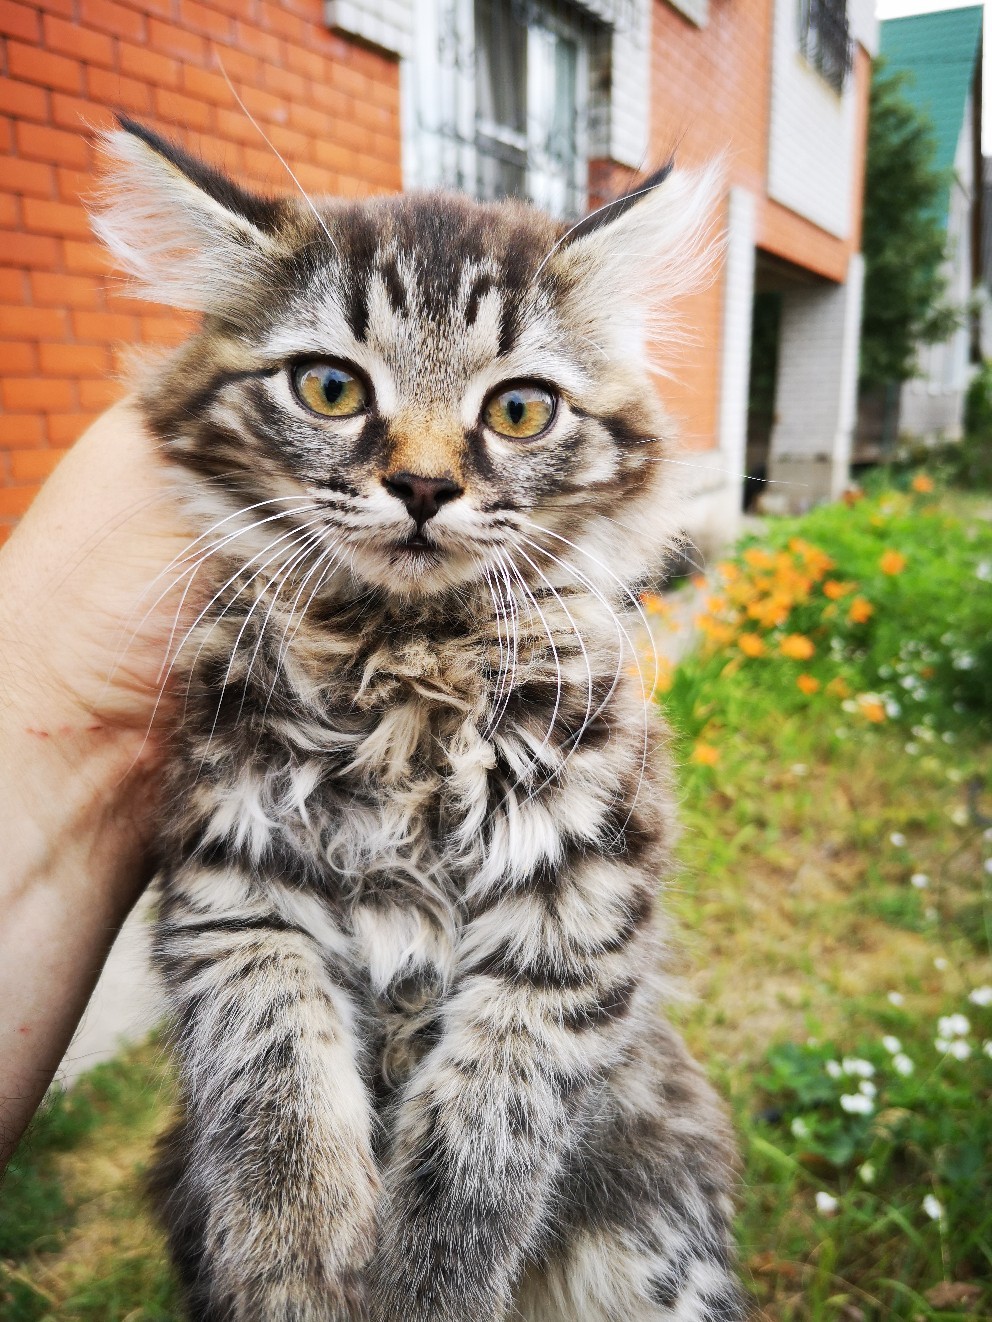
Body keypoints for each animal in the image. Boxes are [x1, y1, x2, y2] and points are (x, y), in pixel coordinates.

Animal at [95, 116, 745, 1322]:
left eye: (520, 408)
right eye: (330, 389)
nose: (425, 488)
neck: (406, 663)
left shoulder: (568, 923)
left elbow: (473, 1172)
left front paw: (418, 1290)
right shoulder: (237, 892)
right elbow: (279, 1116)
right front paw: (301, 1277)